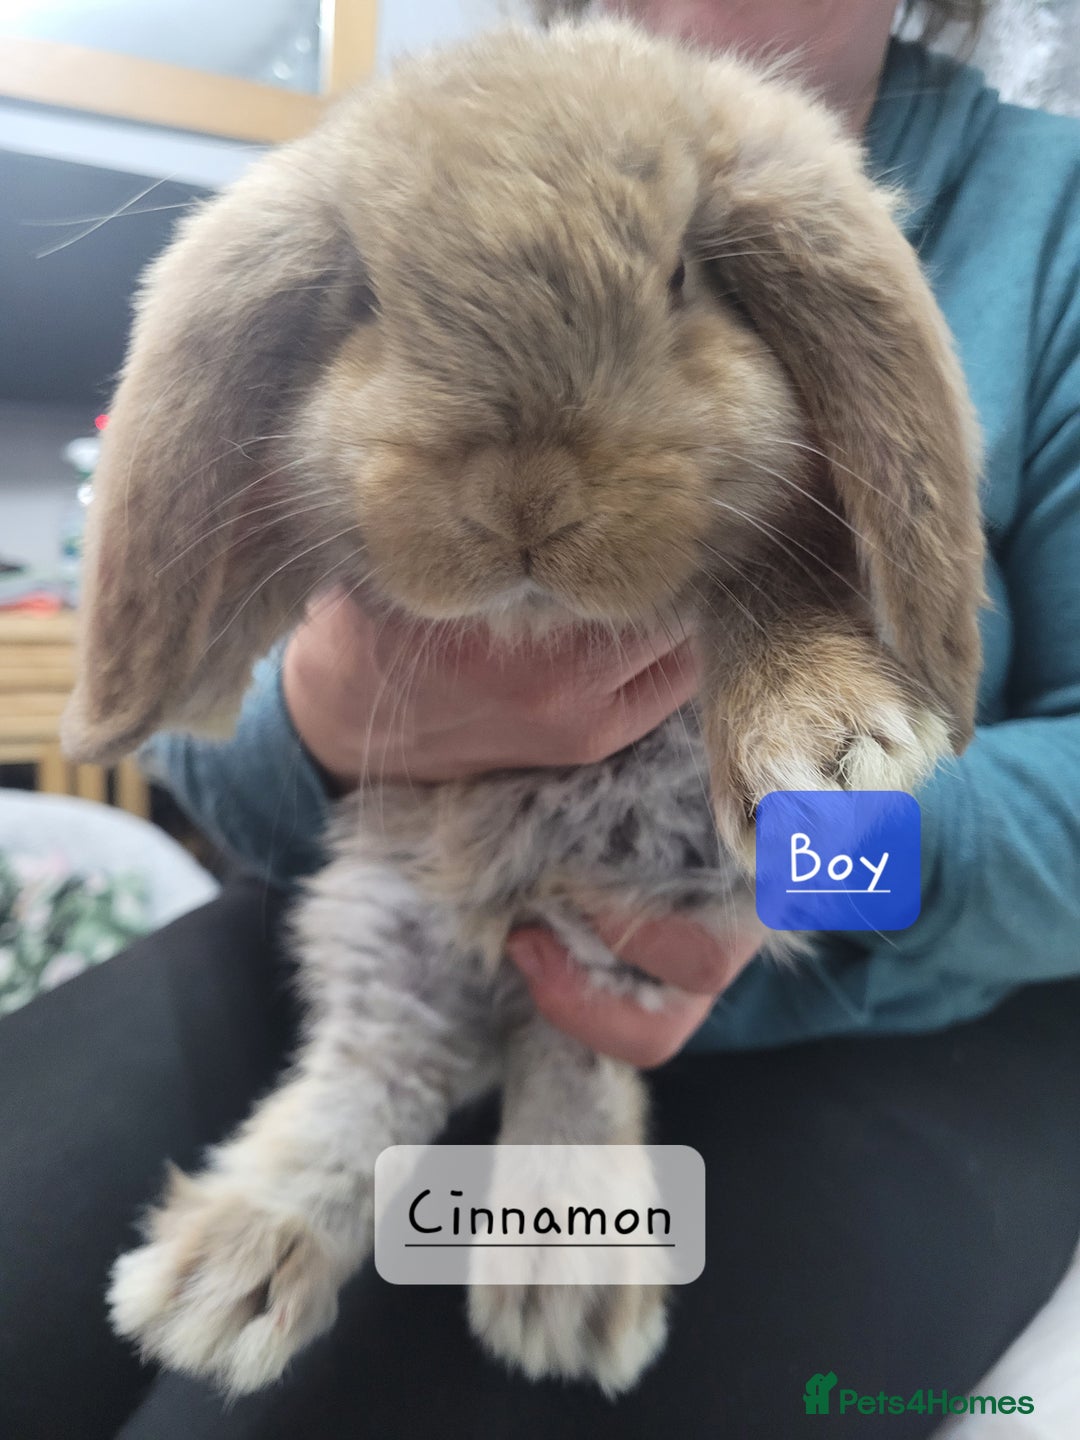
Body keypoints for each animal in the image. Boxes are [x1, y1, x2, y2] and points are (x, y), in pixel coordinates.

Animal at [61, 16, 986, 1401]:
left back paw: (563, 1288)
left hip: (626, 933)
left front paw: (826, 745)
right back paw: (226, 1275)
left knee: (566, 1056)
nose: (524, 499)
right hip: (395, 922)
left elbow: (769, 587)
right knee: (376, 1079)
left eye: (683, 277)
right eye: (366, 301)